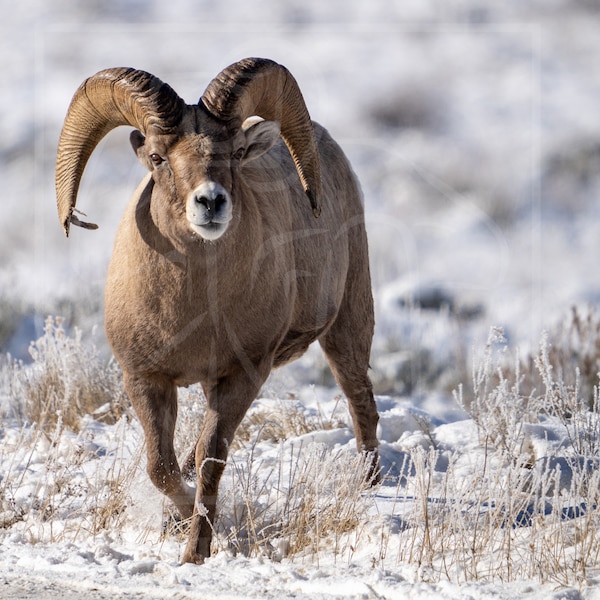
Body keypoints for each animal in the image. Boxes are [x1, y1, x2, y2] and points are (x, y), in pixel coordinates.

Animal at [54, 56, 378, 564]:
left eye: (236, 152)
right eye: (158, 157)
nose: (209, 202)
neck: (193, 308)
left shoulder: (242, 376)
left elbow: (210, 460)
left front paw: (194, 552)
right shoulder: (146, 379)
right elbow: (162, 466)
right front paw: (180, 516)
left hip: (347, 326)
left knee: (359, 398)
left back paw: (370, 487)